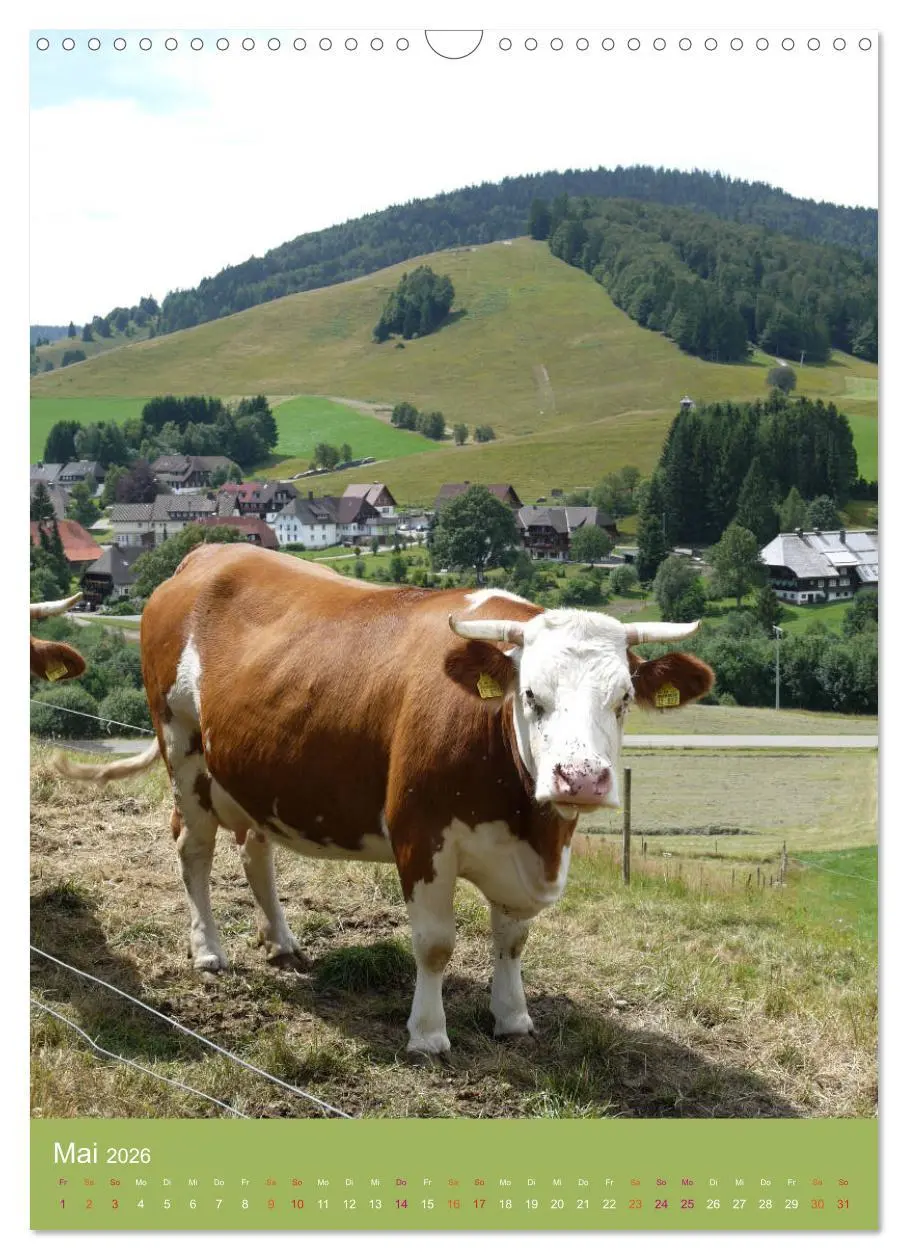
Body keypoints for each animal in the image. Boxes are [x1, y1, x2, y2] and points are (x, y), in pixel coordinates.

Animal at [56, 544, 713, 1054]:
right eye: (531, 695)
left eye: (623, 699)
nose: (581, 778)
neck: (531, 826)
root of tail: (205, 554)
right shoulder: (420, 836)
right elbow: (436, 944)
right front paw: (427, 1033)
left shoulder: (522, 858)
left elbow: (512, 940)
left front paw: (512, 1017)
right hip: (184, 751)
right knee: (194, 848)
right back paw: (208, 949)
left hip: (258, 772)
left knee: (254, 851)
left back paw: (281, 940)